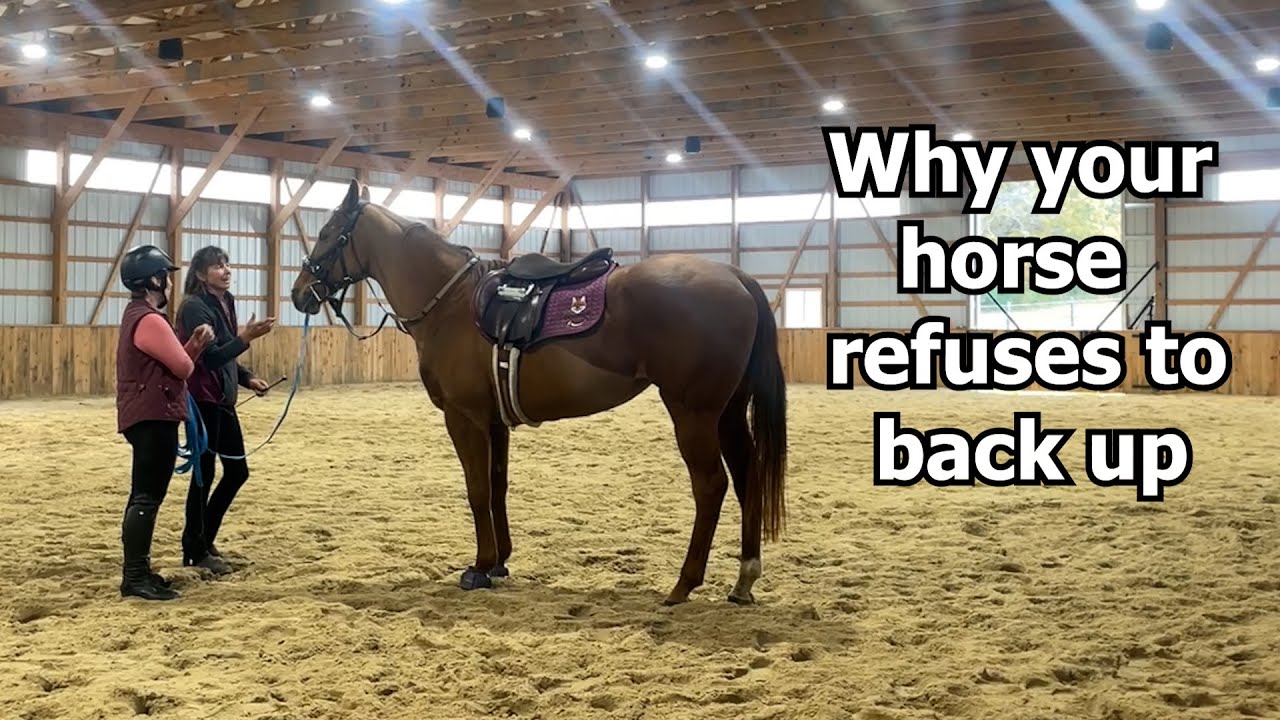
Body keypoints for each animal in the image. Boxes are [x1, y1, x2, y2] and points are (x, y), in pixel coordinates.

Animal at [289, 178, 788, 606]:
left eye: (329, 233)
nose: (299, 293)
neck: (452, 305)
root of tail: (735, 277)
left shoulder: (463, 417)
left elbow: (476, 489)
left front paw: (478, 567)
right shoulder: (493, 420)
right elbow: (497, 485)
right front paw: (499, 562)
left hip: (692, 412)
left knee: (711, 485)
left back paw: (683, 585)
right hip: (727, 413)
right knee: (746, 476)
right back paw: (743, 580)